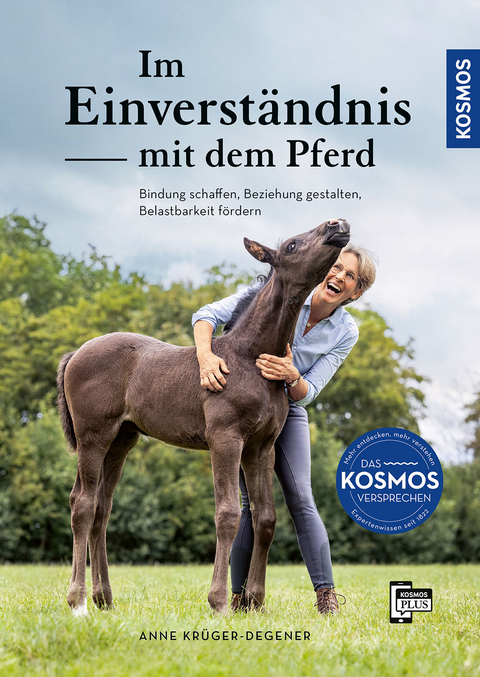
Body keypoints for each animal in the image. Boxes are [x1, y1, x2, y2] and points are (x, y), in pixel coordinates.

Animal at [57, 218, 350, 615]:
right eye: (291, 245)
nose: (338, 225)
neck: (249, 357)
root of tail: (75, 354)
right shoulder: (225, 440)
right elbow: (227, 514)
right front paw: (220, 601)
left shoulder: (261, 447)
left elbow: (266, 517)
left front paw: (254, 601)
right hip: (93, 438)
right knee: (82, 504)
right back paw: (78, 601)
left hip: (121, 441)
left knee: (102, 509)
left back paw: (105, 598)